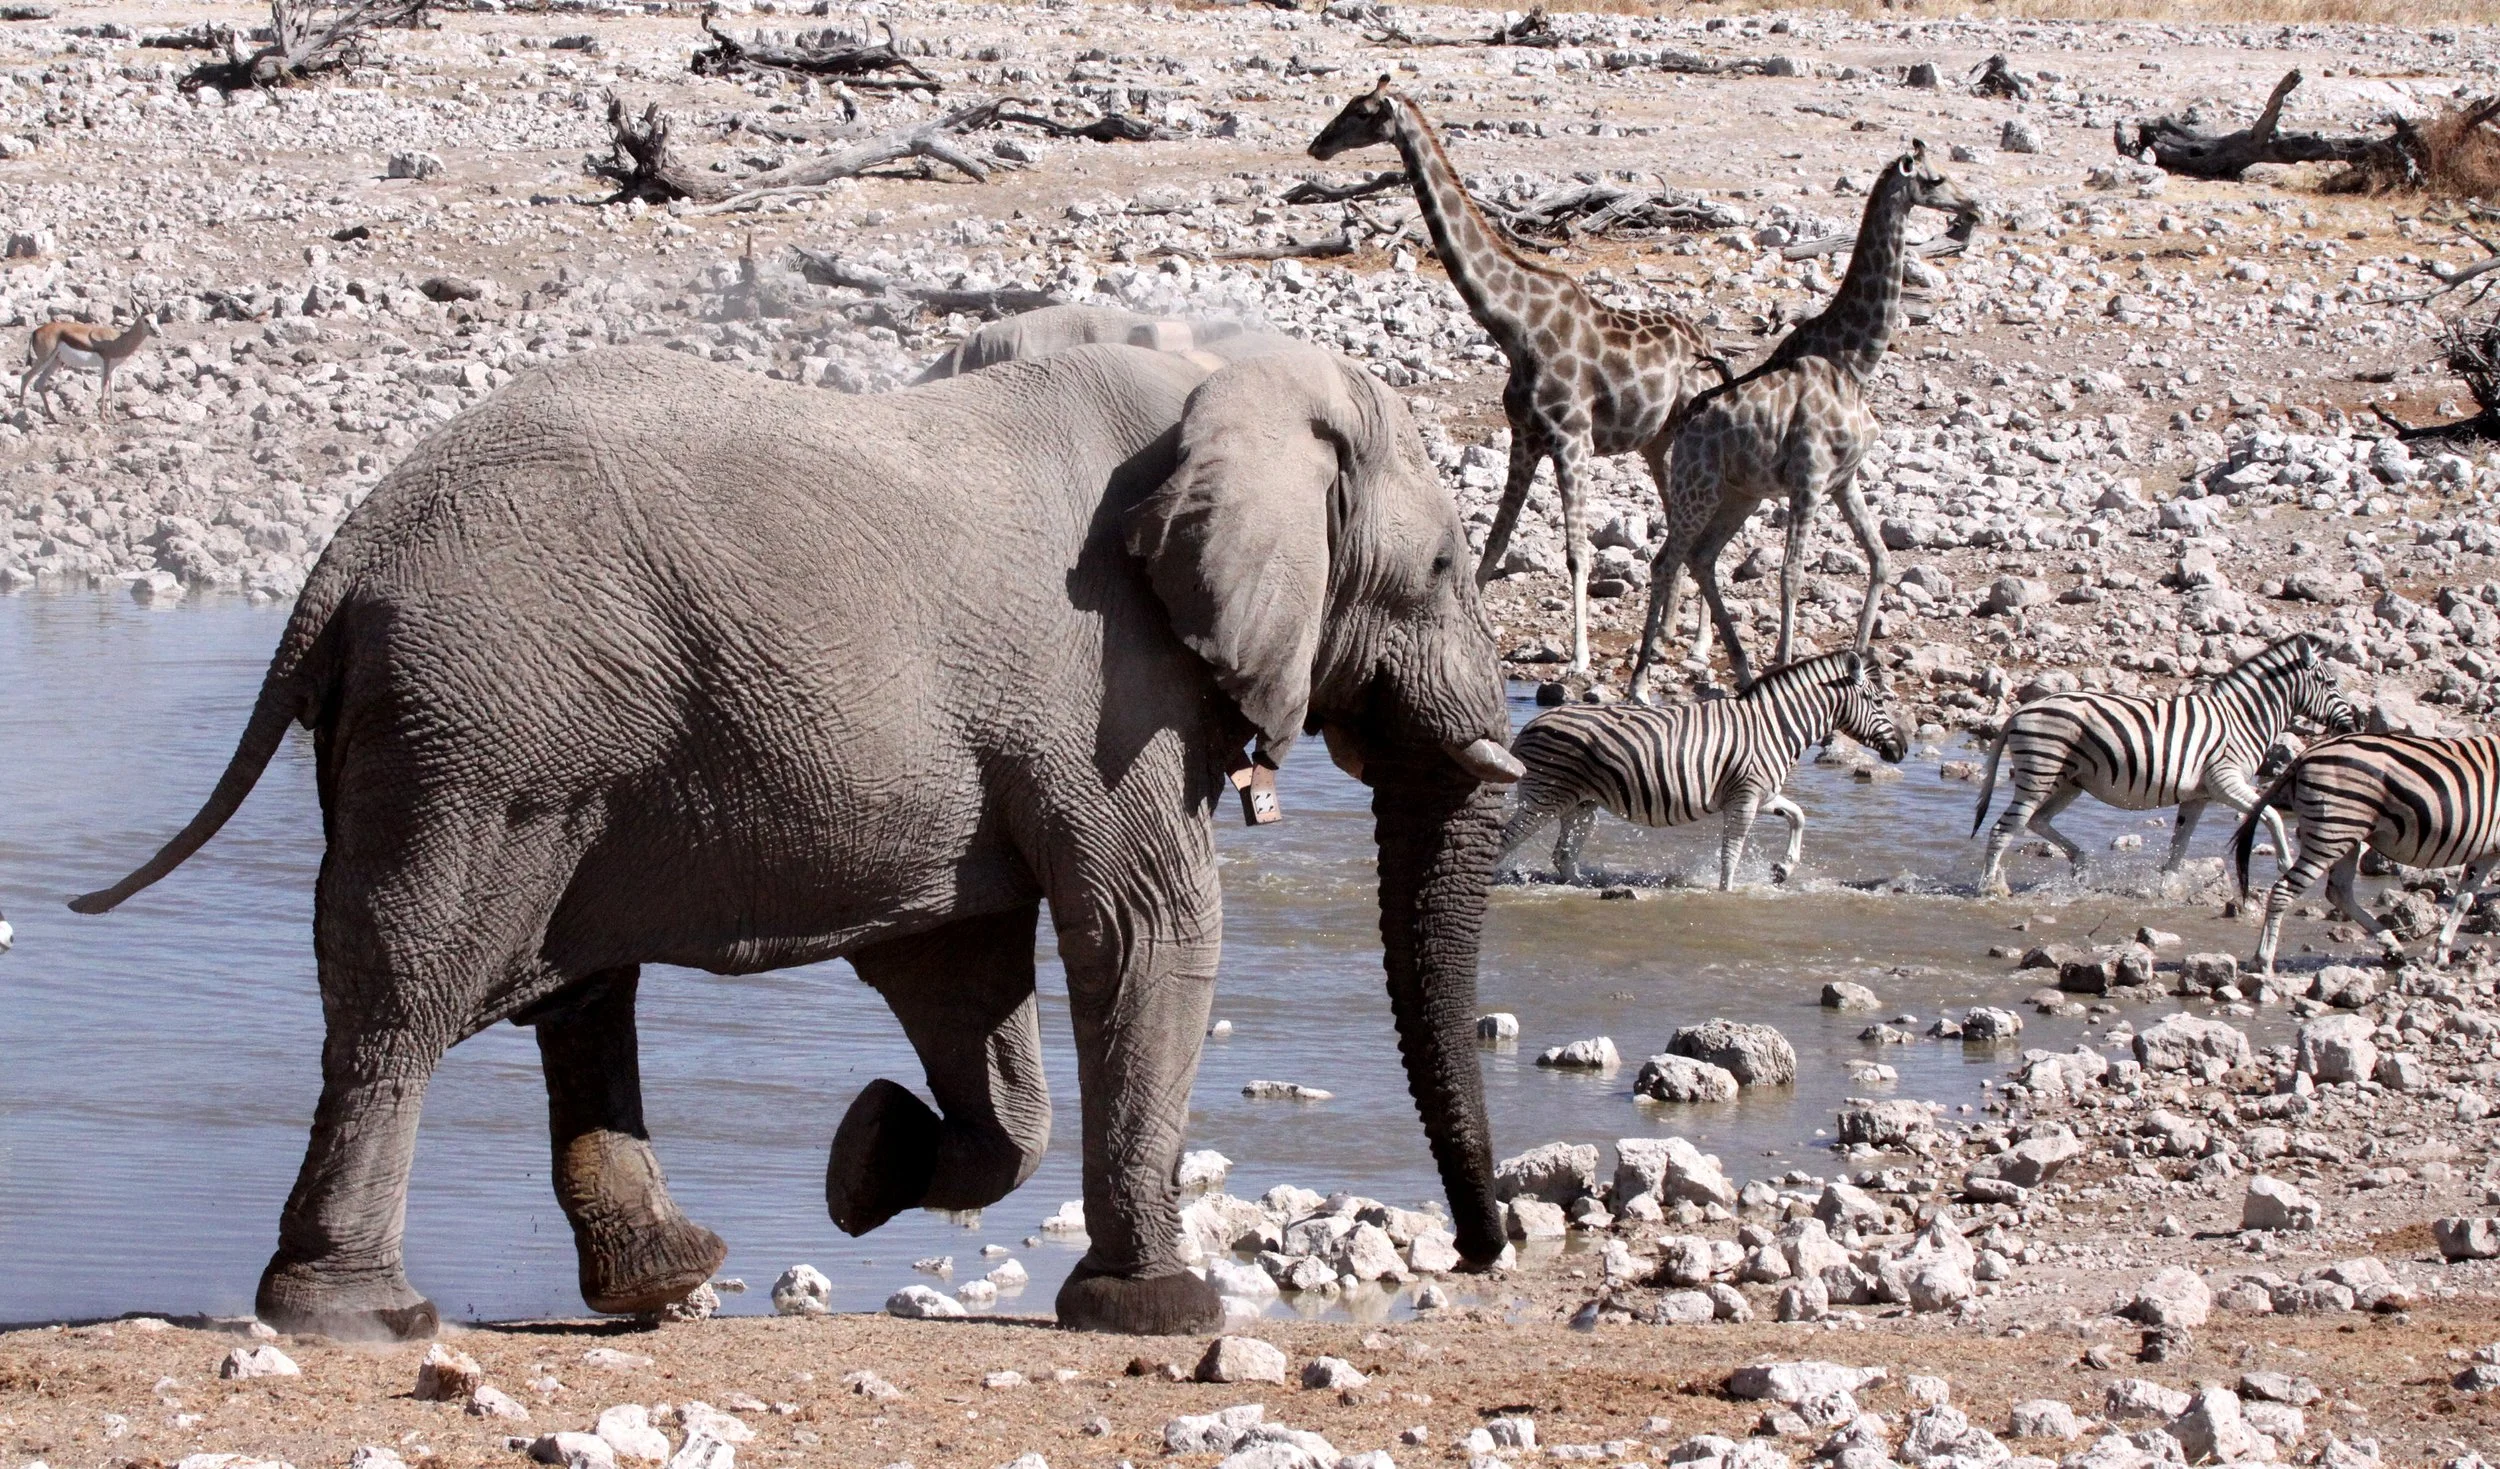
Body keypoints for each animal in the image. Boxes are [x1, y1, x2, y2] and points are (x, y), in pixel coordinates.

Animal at [72, 340, 1524, 1341]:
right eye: (1447, 571)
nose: (1484, 1249)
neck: (1217, 385)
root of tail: (344, 551)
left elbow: (963, 974)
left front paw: (864, 1159)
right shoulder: (1112, 691)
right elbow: (1146, 926)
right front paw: (1163, 1313)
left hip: (511, 737)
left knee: (568, 989)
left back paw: (665, 1280)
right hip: (480, 734)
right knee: (408, 995)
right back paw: (362, 1318)